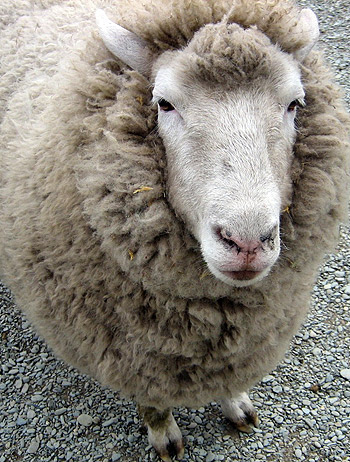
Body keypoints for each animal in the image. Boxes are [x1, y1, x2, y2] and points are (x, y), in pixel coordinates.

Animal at [0, 0, 348, 460]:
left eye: (294, 103)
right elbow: (153, 399)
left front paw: (235, 403)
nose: (247, 242)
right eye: (164, 104)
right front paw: (164, 433)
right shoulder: (132, 353)